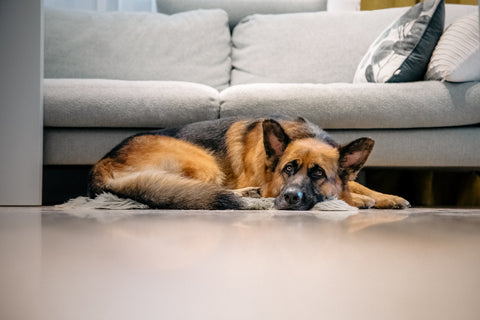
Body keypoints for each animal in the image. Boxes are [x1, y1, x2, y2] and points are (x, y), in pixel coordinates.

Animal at [88, 117, 410, 210]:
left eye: (319, 173)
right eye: (288, 169)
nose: (290, 198)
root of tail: (101, 162)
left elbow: (356, 183)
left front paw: (387, 197)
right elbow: (349, 191)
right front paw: (358, 199)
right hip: (204, 161)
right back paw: (246, 196)